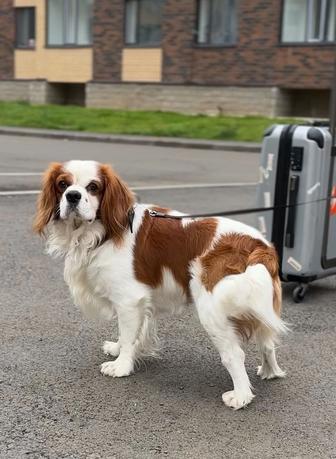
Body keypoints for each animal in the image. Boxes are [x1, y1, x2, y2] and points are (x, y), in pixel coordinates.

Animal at [34, 161, 286, 410]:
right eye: (63, 184)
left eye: (93, 187)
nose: (73, 196)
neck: (100, 231)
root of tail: (259, 245)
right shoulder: (139, 301)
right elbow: (129, 333)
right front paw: (118, 348)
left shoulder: (129, 300)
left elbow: (128, 335)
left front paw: (121, 365)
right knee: (268, 342)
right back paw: (270, 372)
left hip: (212, 311)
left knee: (235, 354)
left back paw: (241, 396)